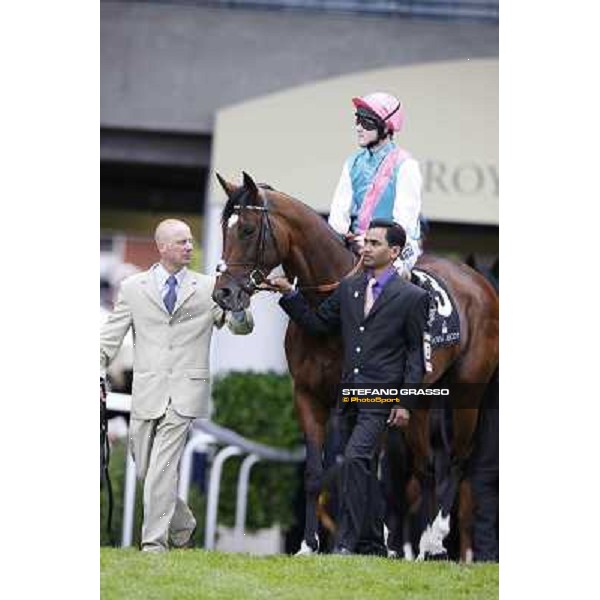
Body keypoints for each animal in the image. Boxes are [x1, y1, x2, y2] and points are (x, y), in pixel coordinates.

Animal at [211, 171, 496, 560]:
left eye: (248, 229)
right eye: (225, 227)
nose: (223, 293)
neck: (329, 305)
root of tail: (478, 282)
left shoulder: (356, 400)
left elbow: (355, 465)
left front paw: (356, 542)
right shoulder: (307, 396)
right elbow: (316, 473)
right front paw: (310, 545)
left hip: (467, 394)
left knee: (456, 460)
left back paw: (436, 539)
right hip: (419, 402)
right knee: (425, 468)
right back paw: (417, 547)